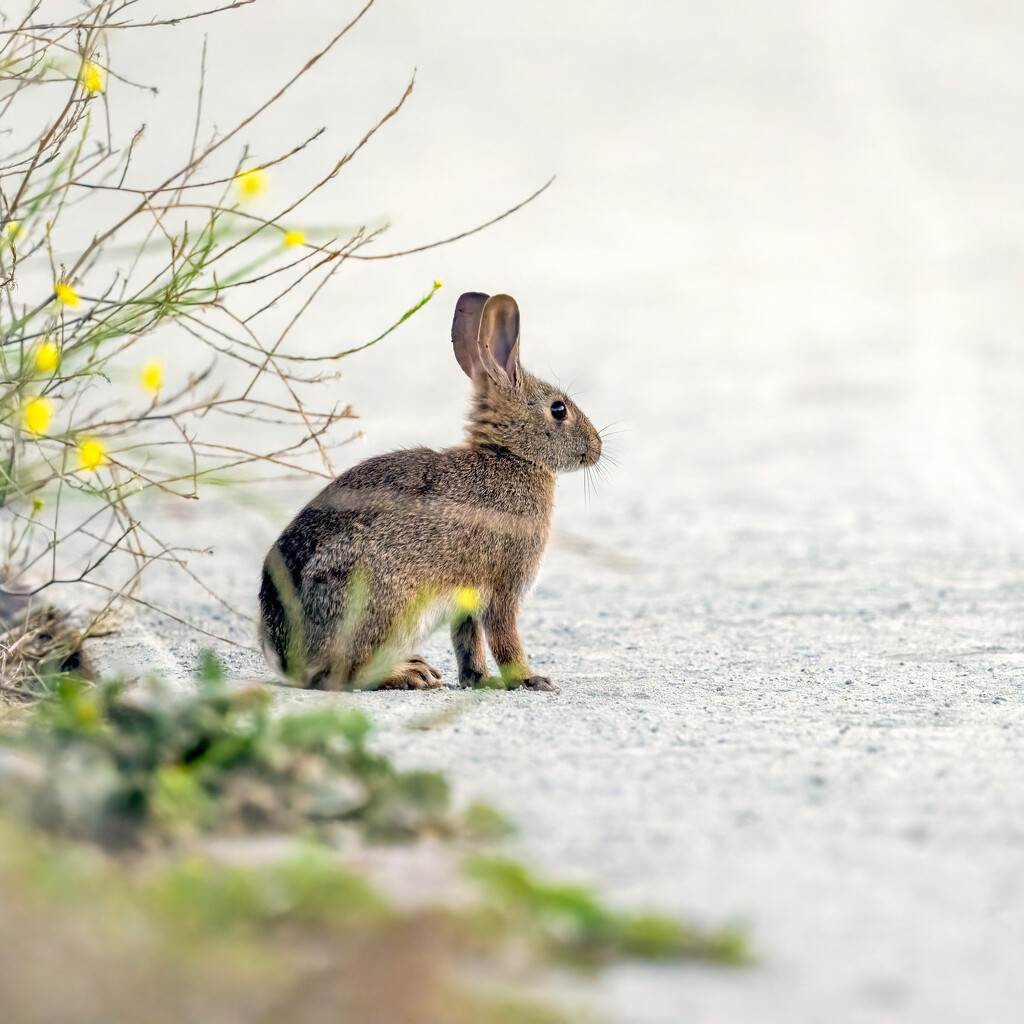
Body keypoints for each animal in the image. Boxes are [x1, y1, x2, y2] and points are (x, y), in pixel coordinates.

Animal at [260, 292, 602, 692]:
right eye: (558, 409)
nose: (597, 448)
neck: (510, 456)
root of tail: (285, 657)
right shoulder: (504, 583)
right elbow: (504, 638)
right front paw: (530, 679)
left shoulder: (466, 598)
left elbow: (468, 640)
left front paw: (479, 680)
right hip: (380, 604)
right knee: (336, 675)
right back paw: (409, 673)